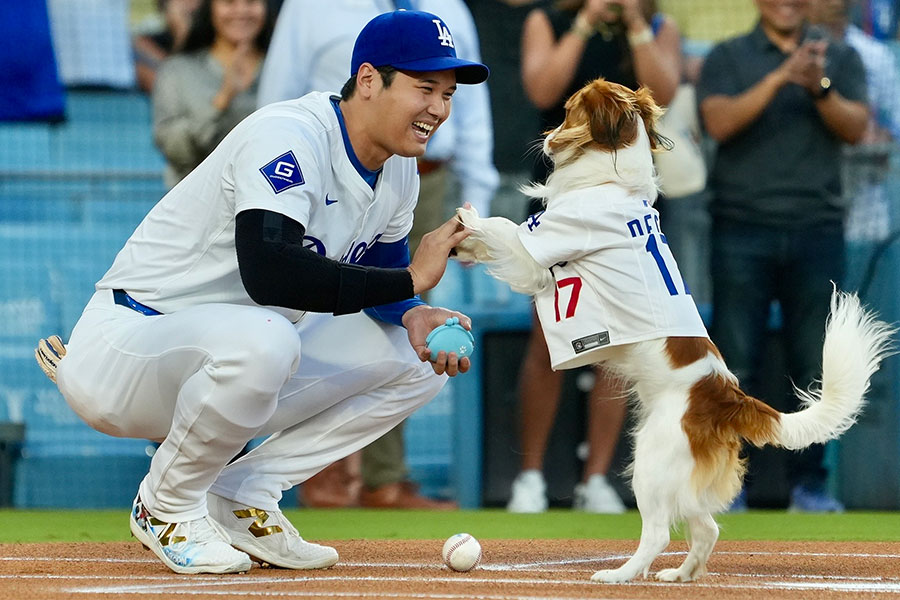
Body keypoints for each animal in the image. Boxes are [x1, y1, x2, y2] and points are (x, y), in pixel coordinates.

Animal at [458, 77, 892, 584]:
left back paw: (621, 575)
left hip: (650, 459)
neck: (612, 179)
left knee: (660, 533)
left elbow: (503, 229)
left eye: (567, 112)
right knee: (706, 528)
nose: (545, 139)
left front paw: (467, 221)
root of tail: (728, 398)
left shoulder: (540, 247)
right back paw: (681, 575)